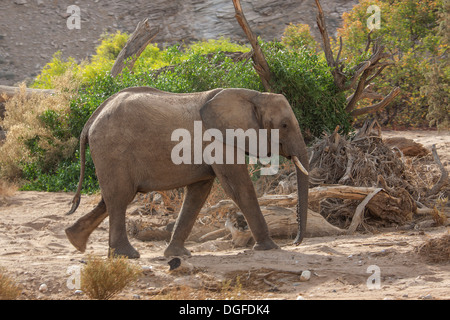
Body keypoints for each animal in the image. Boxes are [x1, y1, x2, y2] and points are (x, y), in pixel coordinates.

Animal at [64, 86, 310, 258]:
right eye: (284, 125)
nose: (295, 242)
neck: (254, 95)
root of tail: (92, 119)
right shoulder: (219, 140)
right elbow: (239, 188)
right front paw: (270, 248)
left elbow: (198, 194)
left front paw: (177, 254)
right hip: (112, 149)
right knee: (120, 197)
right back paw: (127, 255)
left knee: (113, 197)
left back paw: (75, 240)